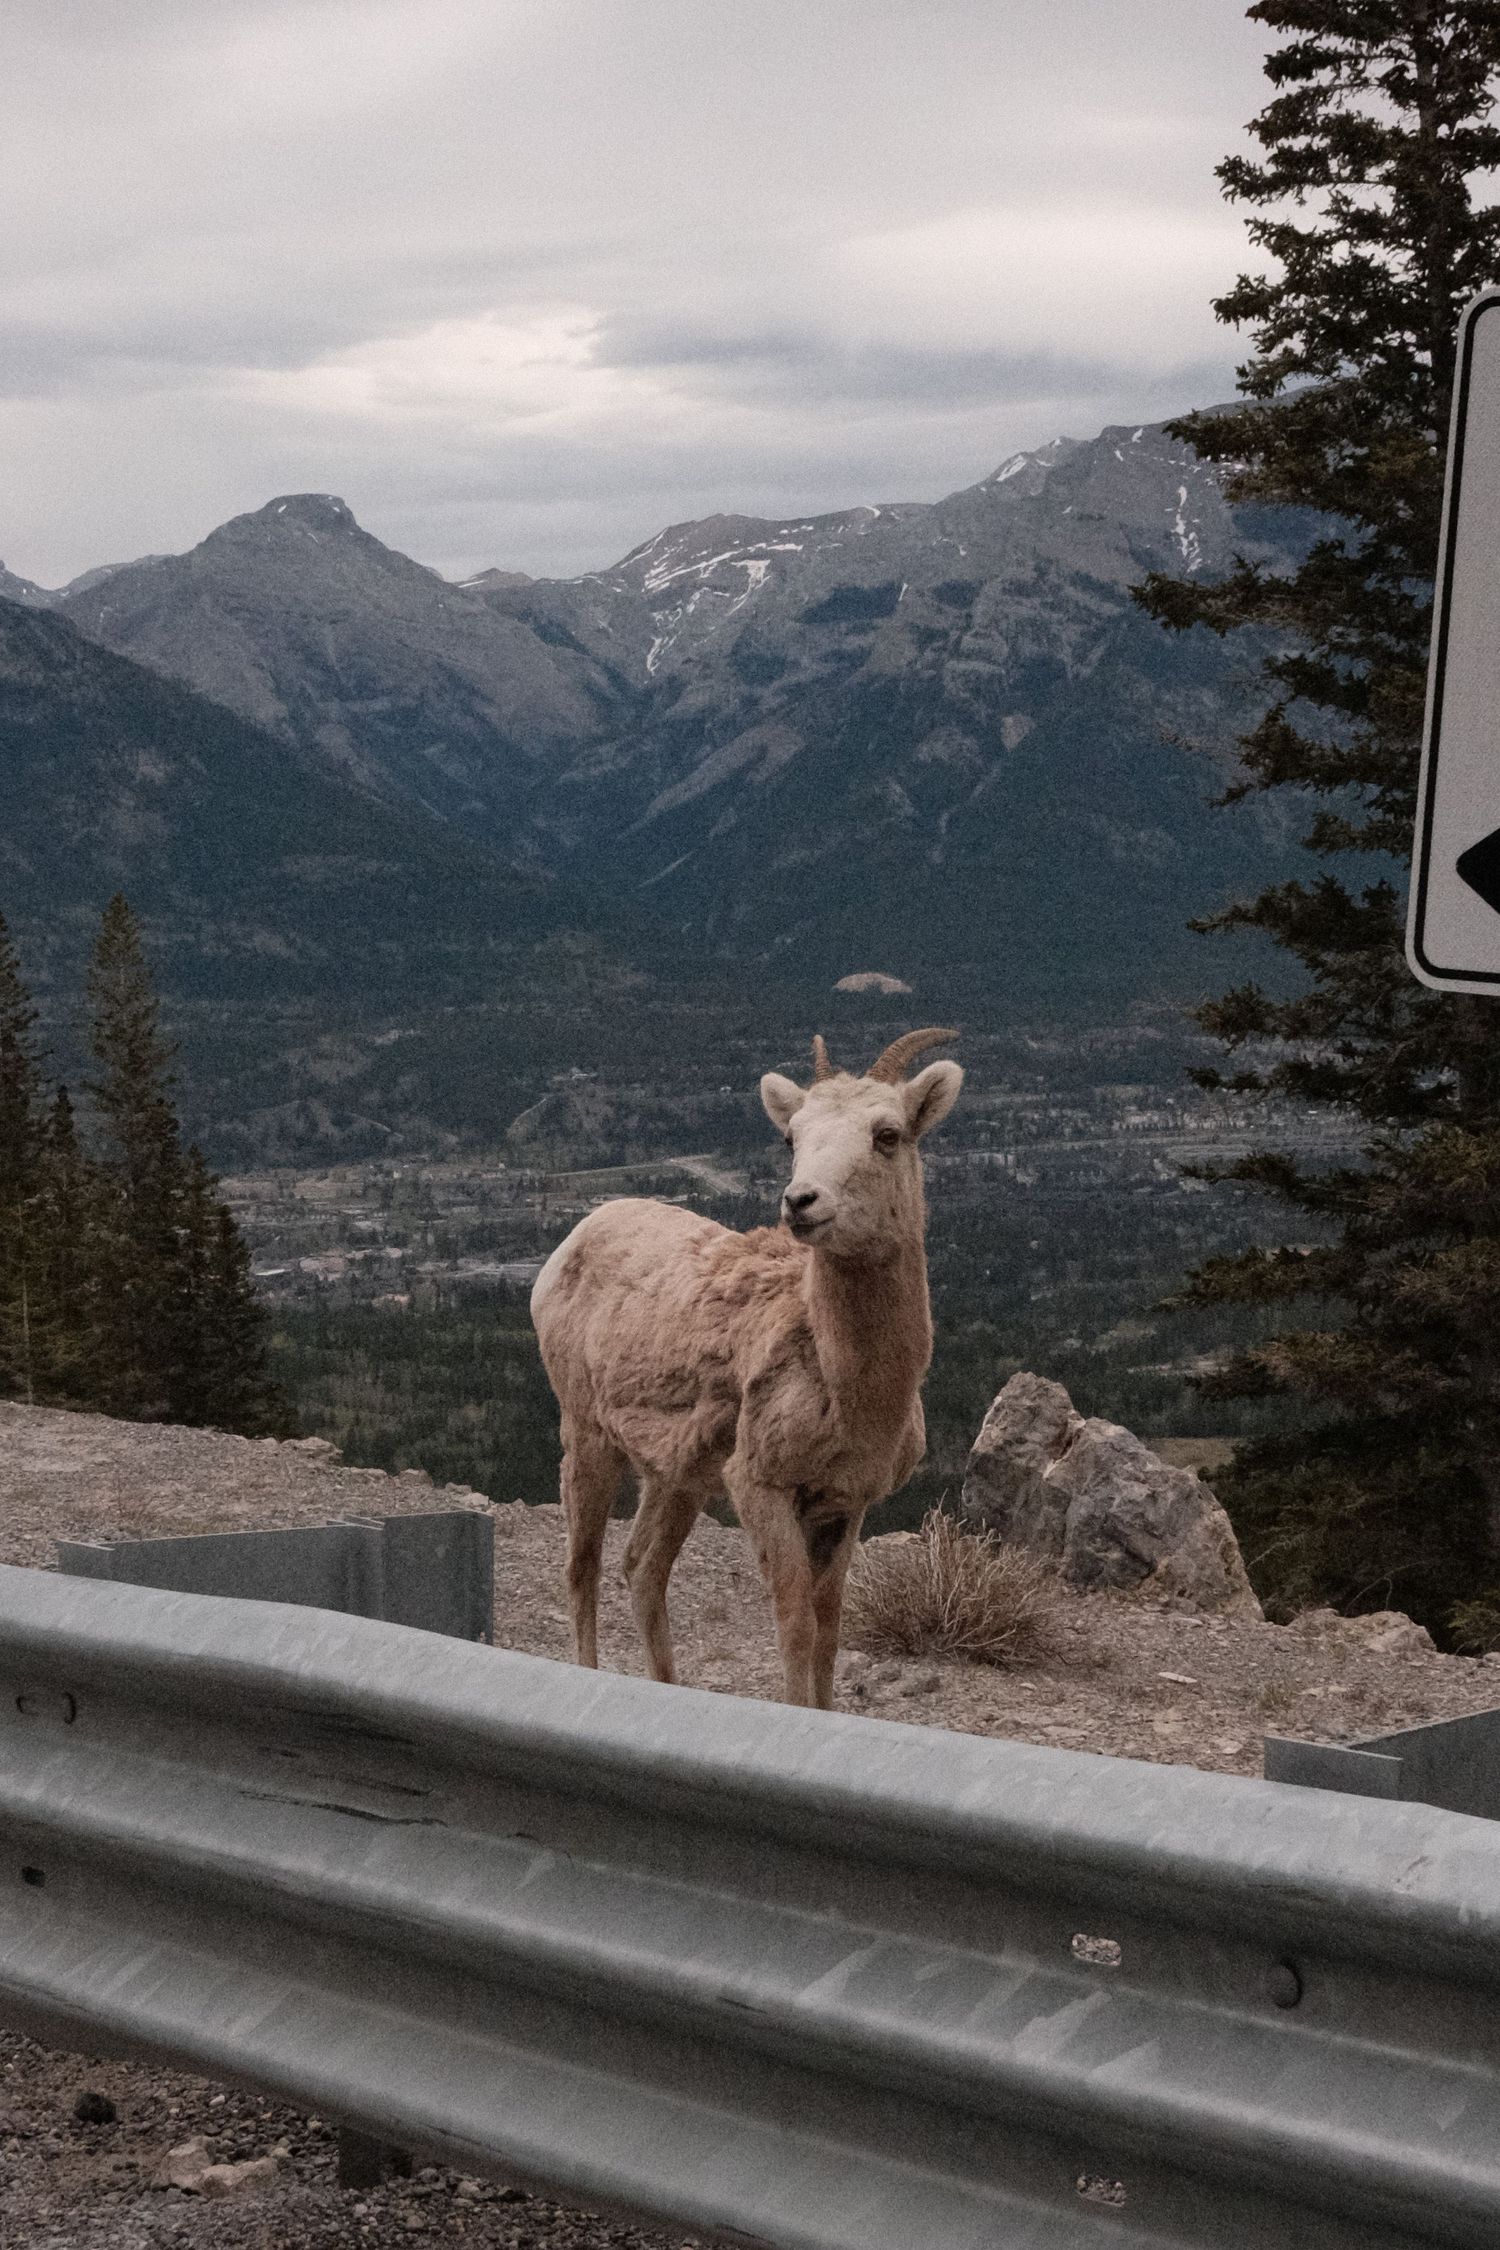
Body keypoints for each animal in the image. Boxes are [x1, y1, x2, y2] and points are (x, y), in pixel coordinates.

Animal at [529, 1028, 962, 1707]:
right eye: (793, 1137)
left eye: (888, 1134)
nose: (800, 1202)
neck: (852, 1393)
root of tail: (573, 1239)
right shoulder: (759, 1483)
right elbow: (796, 1621)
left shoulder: (846, 1502)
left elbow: (830, 1625)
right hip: (587, 1433)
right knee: (583, 1565)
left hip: (676, 1475)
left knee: (642, 1567)